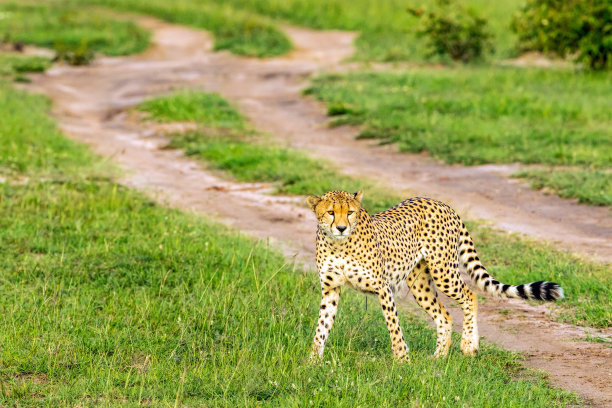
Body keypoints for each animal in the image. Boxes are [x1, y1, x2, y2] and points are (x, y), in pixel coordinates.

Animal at [306, 191, 564, 360]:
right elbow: (322, 326)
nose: (341, 227)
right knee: (444, 315)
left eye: (350, 212)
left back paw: (468, 345)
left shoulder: (382, 288)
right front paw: (313, 361)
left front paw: (401, 361)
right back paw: (439, 356)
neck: (338, 244)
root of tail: (441, 203)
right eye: (330, 212)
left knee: (470, 296)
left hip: (443, 272)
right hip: (420, 283)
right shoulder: (330, 289)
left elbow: (393, 327)